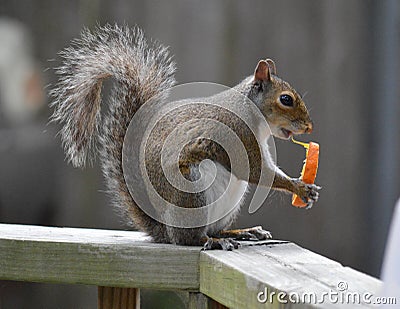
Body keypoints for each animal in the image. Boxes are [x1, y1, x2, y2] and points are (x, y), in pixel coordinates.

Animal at [50, 24, 320, 250]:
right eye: (286, 99)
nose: (309, 127)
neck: (250, 110)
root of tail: (163, 228)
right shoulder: (237, 134)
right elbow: (255, 170)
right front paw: (299, 187)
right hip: (190, 192)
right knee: (188, 239)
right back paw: (212, 241)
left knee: (214, 230)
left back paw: (240, 233)